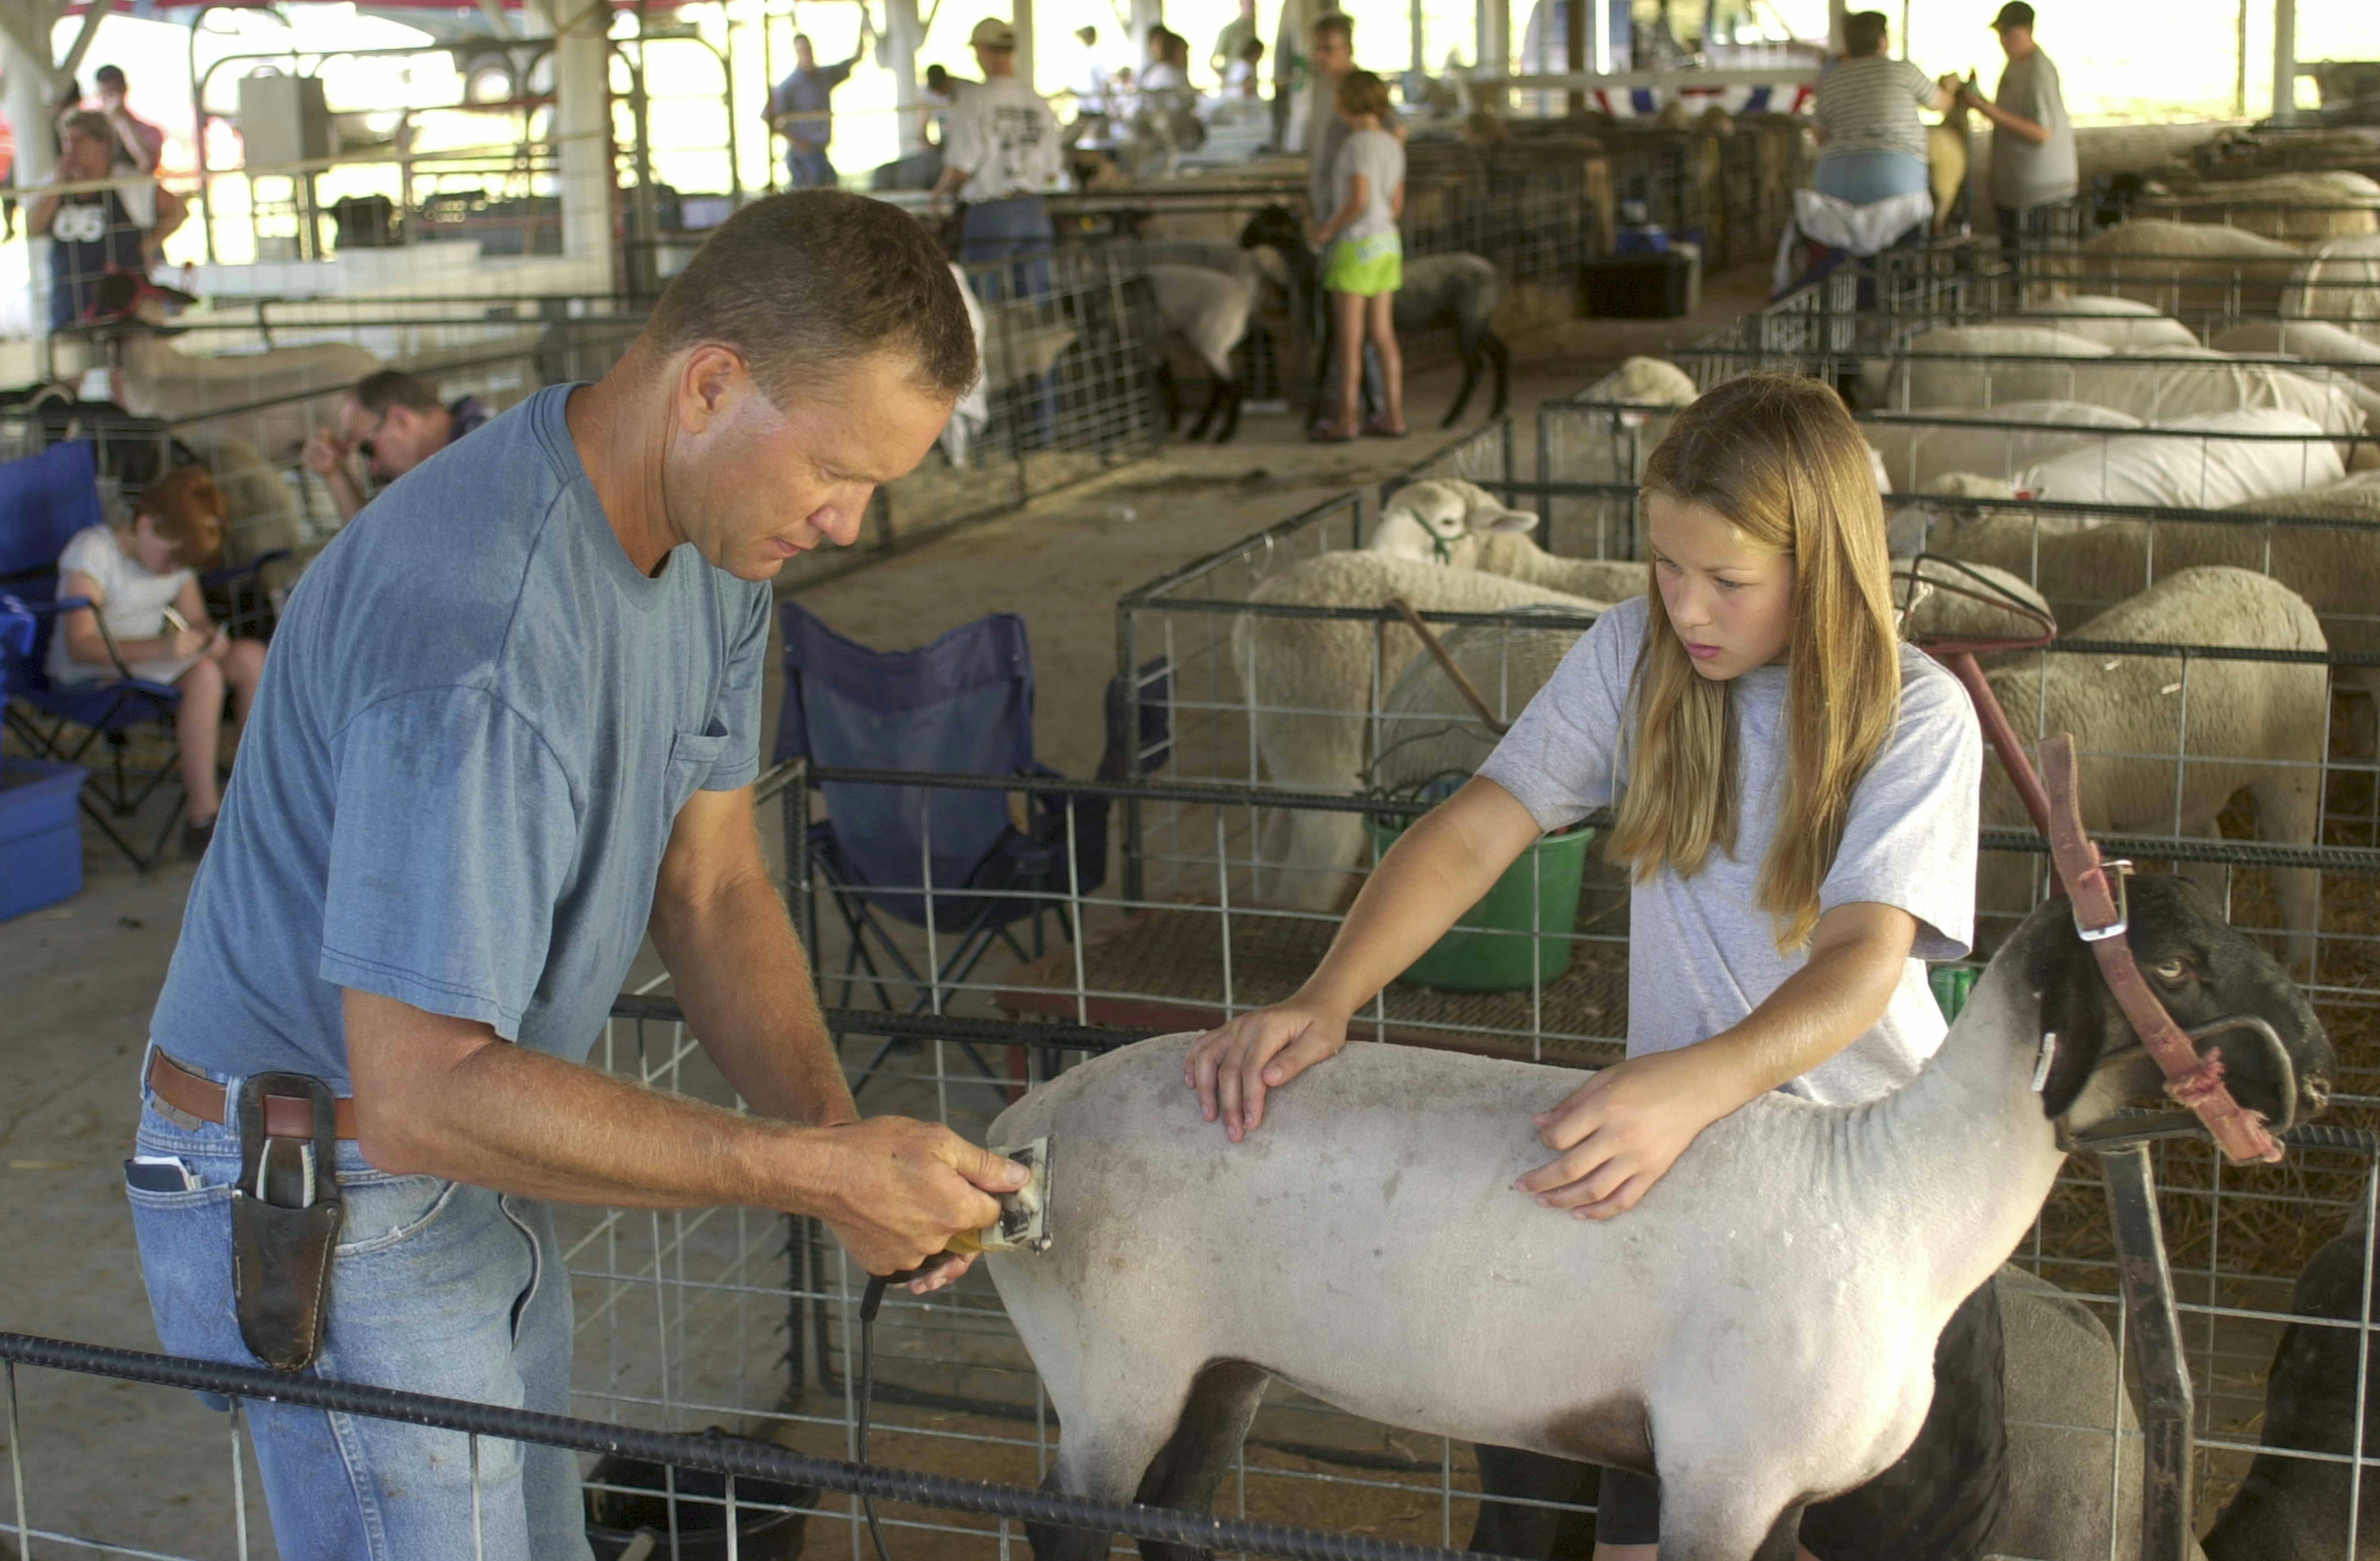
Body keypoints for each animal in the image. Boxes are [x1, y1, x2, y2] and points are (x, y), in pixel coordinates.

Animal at [980, 875, 2323, 1561]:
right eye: (2178, 966)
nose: (2313, 1074)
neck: (1900, 1199)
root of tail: (1021, 1127)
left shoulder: (1785, 1492)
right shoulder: (1724, 1472)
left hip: (1220, 1369)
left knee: (1170, 1515)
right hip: (1114, 1366)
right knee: (1069, 1520)